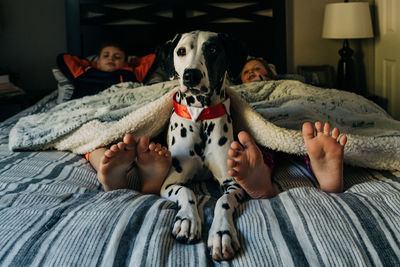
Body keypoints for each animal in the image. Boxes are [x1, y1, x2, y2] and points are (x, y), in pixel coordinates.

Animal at [158, 30, 248, 260]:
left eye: (213, 49)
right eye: (181, 51)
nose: (191, 75)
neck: (201, 116)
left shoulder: (234, 184)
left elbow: (223, 201)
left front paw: (222, 233)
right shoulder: (169, 183)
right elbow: (187, 193)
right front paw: (187, 221)